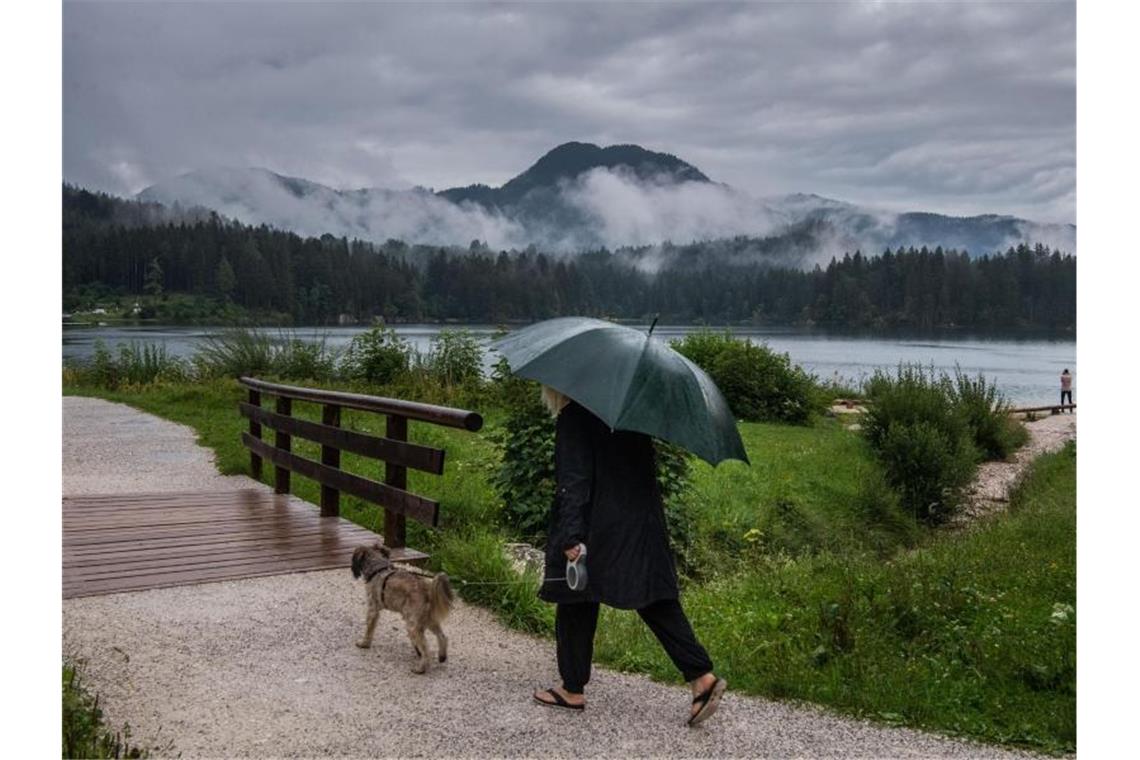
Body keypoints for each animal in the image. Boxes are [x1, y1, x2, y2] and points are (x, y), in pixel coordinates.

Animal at [348, 544, 456, 674]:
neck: (377, 569)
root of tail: (428, 592)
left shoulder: (373, 609)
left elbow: (369, 629)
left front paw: (364, 643)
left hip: (413, 625)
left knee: (426, 649)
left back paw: (421, 668)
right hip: (429, 621)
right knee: (442, 637)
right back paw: (441, 656)